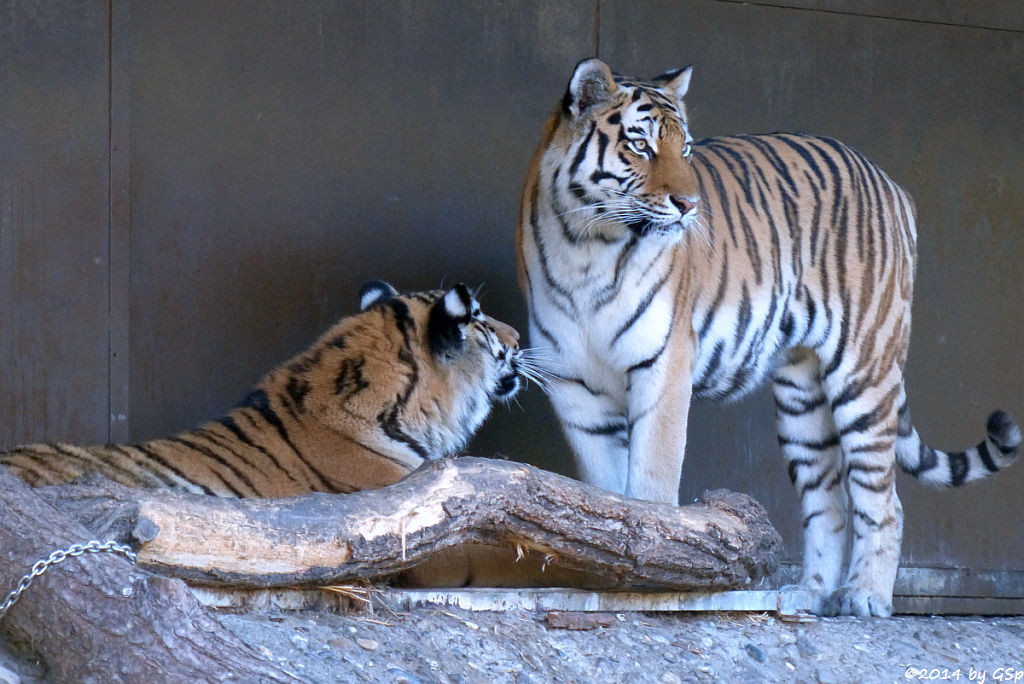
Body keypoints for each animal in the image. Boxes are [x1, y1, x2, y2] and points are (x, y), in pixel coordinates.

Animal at [516, 56, 1019, 618]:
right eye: (640, 145)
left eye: (684, 148)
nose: (689, 204)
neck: (587, 247)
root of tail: (891, 183)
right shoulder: (573, 386)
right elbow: (605, 492)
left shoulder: (664, 366)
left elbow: (650, 482)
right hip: (802, 397)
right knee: (829, 503)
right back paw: (810, 595)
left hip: (864, 370)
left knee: (883, 500)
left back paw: (865, 596)